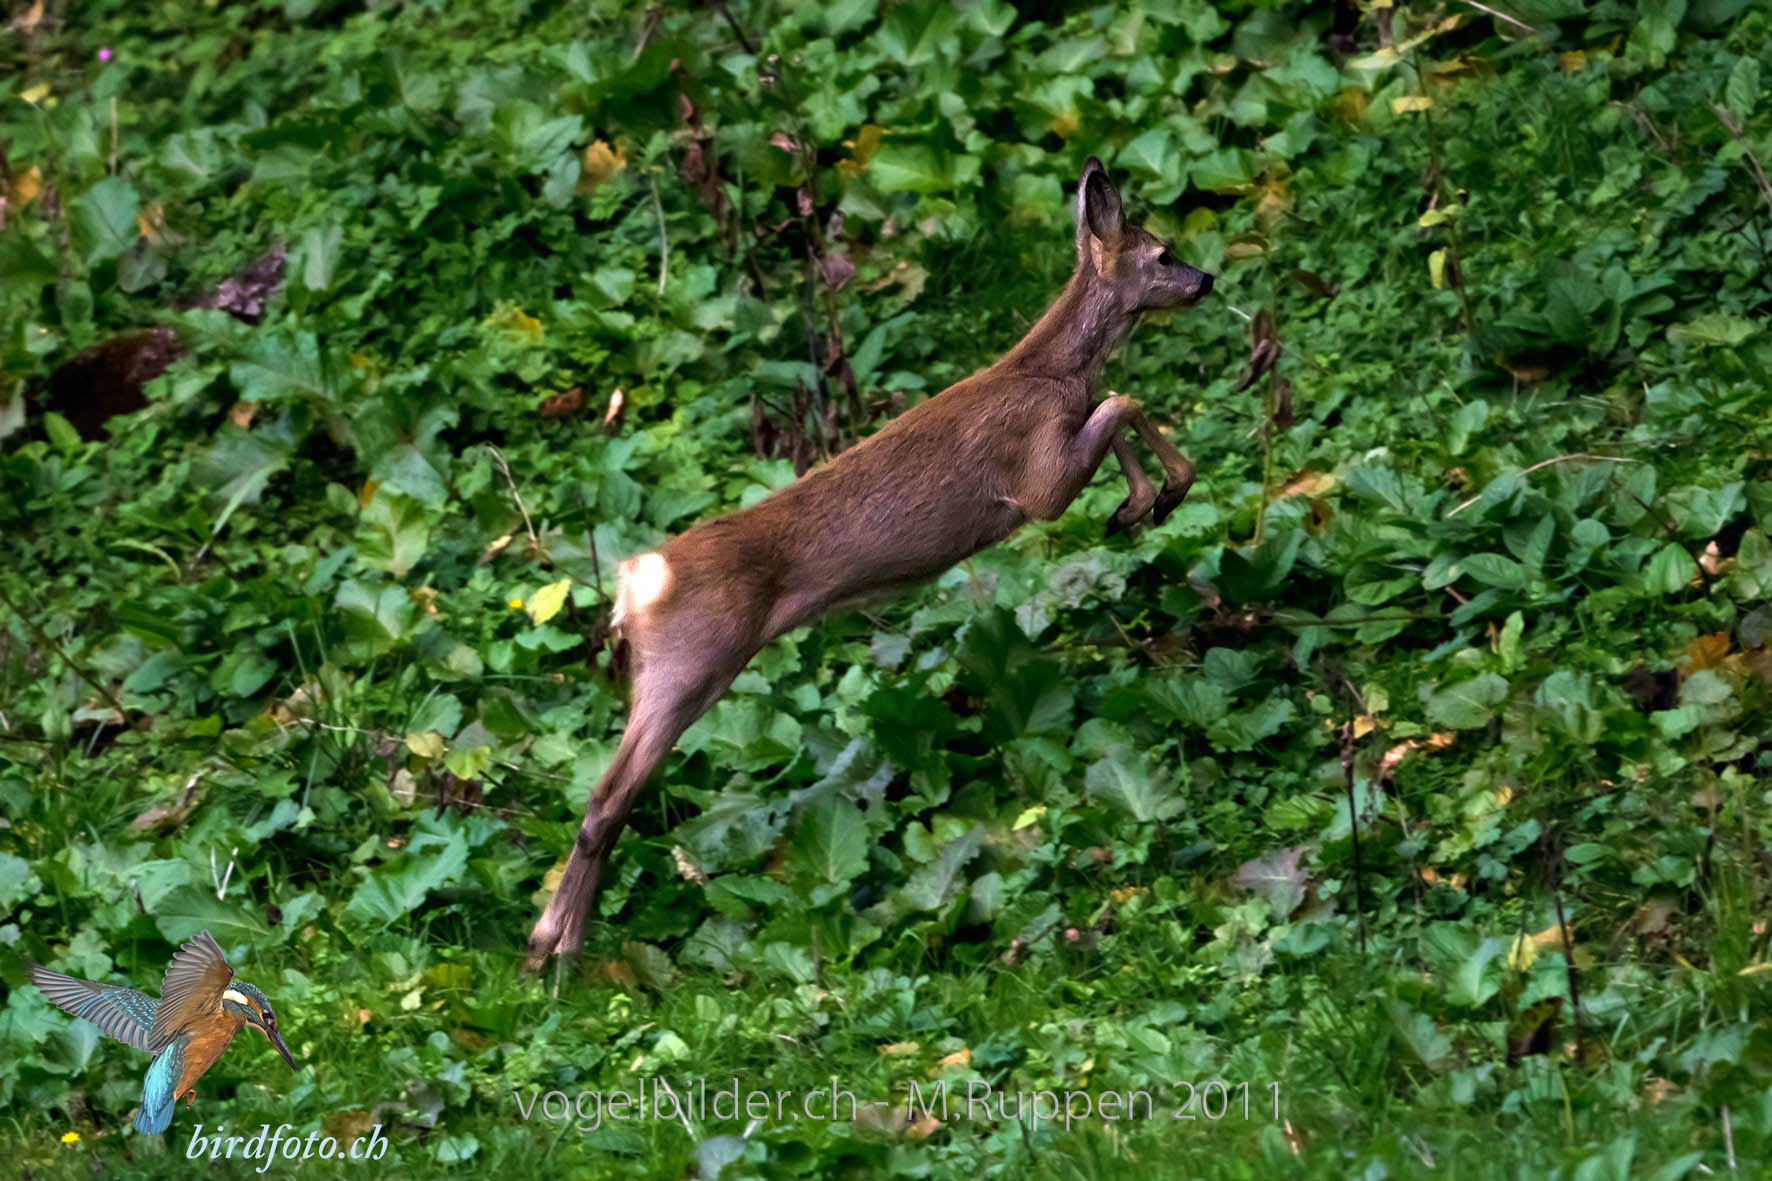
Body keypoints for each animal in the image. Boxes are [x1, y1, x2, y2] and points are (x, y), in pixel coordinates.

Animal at [527, 157, 1214, 966]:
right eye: (1163, 253)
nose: (1206, 280)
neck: (1048, 373)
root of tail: (634, 585)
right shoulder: (1037, 479)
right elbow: (1121, 400)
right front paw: (1161, 491)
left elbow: (1115, 401)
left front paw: (1142, 502)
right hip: (691, 663)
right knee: (608, 798)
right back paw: (559, 947)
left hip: (660, 670)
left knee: (605, 796)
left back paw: (553, 939)